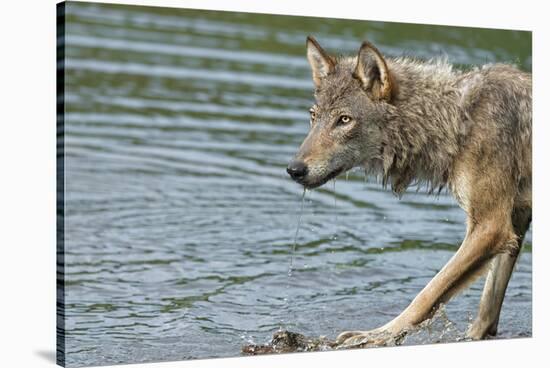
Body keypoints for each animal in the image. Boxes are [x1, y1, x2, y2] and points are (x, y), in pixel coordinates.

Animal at [288, 36, 536, 346]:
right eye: (313, 116)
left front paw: (376, 335)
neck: (457, 122)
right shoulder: (515, 220)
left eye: (344, 120)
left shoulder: (491, 226)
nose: (294, 169)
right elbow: (488, 307)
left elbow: (428, 293)